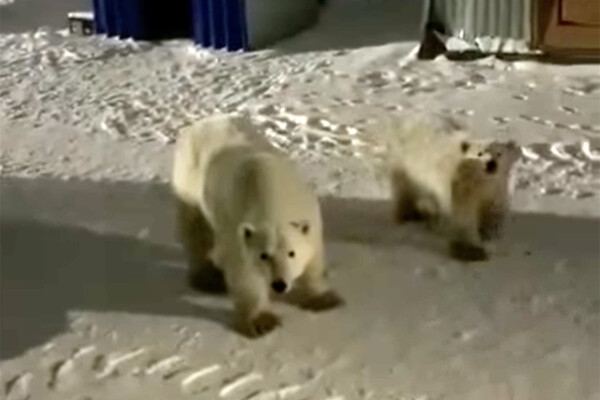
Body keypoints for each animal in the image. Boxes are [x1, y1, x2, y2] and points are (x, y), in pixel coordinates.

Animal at [171, 113, 343, 337]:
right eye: (263, 255)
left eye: (292, 253)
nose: (279, 284)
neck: (269, 193)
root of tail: (201, 123)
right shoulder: (236, 229)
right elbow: (245, 275)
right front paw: (261, 322)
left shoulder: (308, 213)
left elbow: (313, 259)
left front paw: (324, 299)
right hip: (189, 182)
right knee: (195, 229)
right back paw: (206, 278)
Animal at [376, 113, 520, 261]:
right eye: (479, 153)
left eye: (499, 153)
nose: (490, 164)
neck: (481, 181)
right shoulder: (462, 187)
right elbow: (464, 216)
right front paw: (469, 251)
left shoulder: (496, 189)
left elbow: (492, 213)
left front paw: (488, 237)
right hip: (405, 161)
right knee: (405, 191)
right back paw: (408, 216)